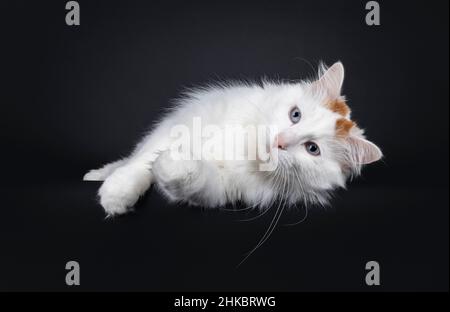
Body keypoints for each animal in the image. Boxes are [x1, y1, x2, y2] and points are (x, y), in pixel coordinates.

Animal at [83, 61, 380, 217]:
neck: (245, 151)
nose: (280, 141)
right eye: (295, 115)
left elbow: (187, 176)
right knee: (130, 158)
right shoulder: (180, 127)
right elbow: (142, 164)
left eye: (312, 149)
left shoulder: (219, 188)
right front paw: (117, 194)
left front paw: (172, 164)